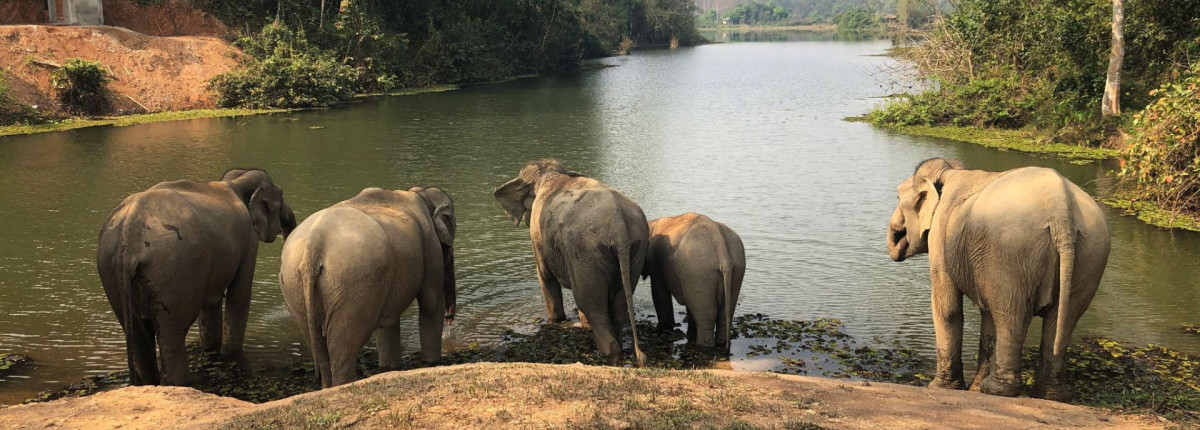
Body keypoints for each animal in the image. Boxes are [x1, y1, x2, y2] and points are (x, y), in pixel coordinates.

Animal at [96, 168, 295, 385]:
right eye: (281, 198)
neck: (236, 181)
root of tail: (128, 234)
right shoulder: (249, 239)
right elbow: (239, 295)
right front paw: (229, 354)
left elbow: (211, 302)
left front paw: (212, 348)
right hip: (173, 272)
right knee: (173, 333)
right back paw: (182, 383)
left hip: (111, 271)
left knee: (139, 335)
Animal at [278, 186, 456, 388]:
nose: (449, 320)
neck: (418, 191)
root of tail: (313, 245)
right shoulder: (430, 245)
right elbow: (430, 305)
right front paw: (432, 362)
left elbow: (388, 322)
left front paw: (389, 368)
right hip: (351, 286)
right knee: (345, 346)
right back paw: (344, 384)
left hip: (294, 287)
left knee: (318, 343)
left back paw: (327, 387)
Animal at [494, 159, 649, 366]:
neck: (552, 175)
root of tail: (619, 228)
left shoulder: (538, 235)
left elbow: (545, 277)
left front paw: (556, 321)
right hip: (635, 250)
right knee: (619, 303)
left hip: (585, 252)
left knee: (590, 302)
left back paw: (605, 354)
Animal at [644, 213, 746, 354]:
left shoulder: (653, 260)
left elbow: (659, 292)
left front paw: (665, 327)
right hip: (735, 267)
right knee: (725, 315)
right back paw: (721, 345)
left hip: (699, 269)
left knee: (706, 319)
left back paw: (703, 347)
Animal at [886, 158, 1110, 401]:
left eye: (897, 198)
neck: (950, 171)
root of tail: (1061, 210)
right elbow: (987, 314)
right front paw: (972, 389)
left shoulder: (940, 234)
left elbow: (948, 308)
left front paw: (941, 388)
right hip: (1091, 253)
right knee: (1064, 320)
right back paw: (1049, 395)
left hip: (1010, 252)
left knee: (1011, 316)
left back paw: (996, 390)